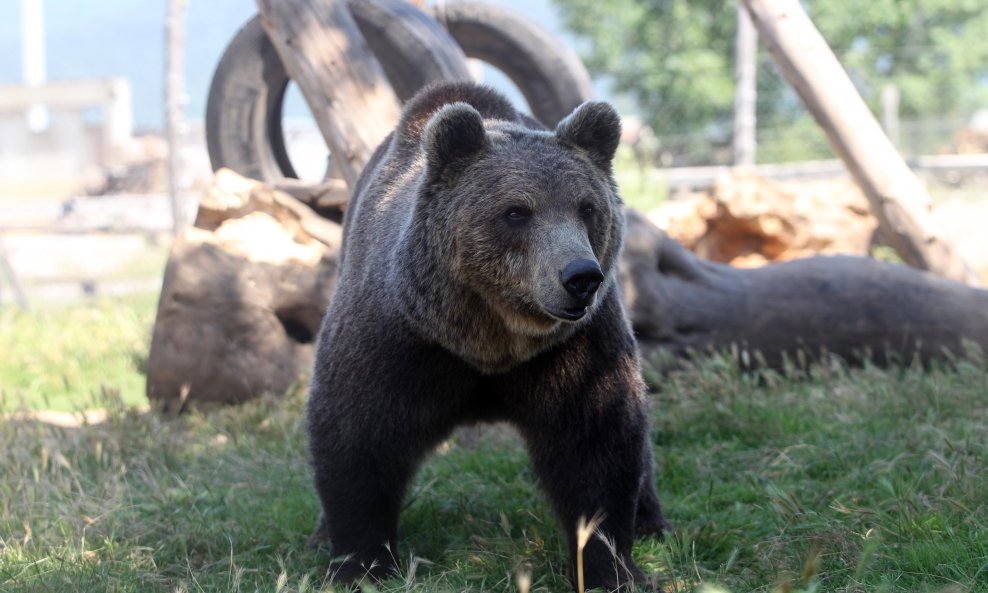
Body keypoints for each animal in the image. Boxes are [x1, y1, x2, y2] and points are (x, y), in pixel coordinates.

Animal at [304, 81, 668, 588]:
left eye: (587, 207)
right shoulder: (398, 339)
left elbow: (597, 440)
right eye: (516, 211)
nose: (580, 277)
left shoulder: (575, 349)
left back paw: (651, 518)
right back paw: (321, 535)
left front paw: (610, 567)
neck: (489, 339)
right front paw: (361, 563)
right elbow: (357, 434)